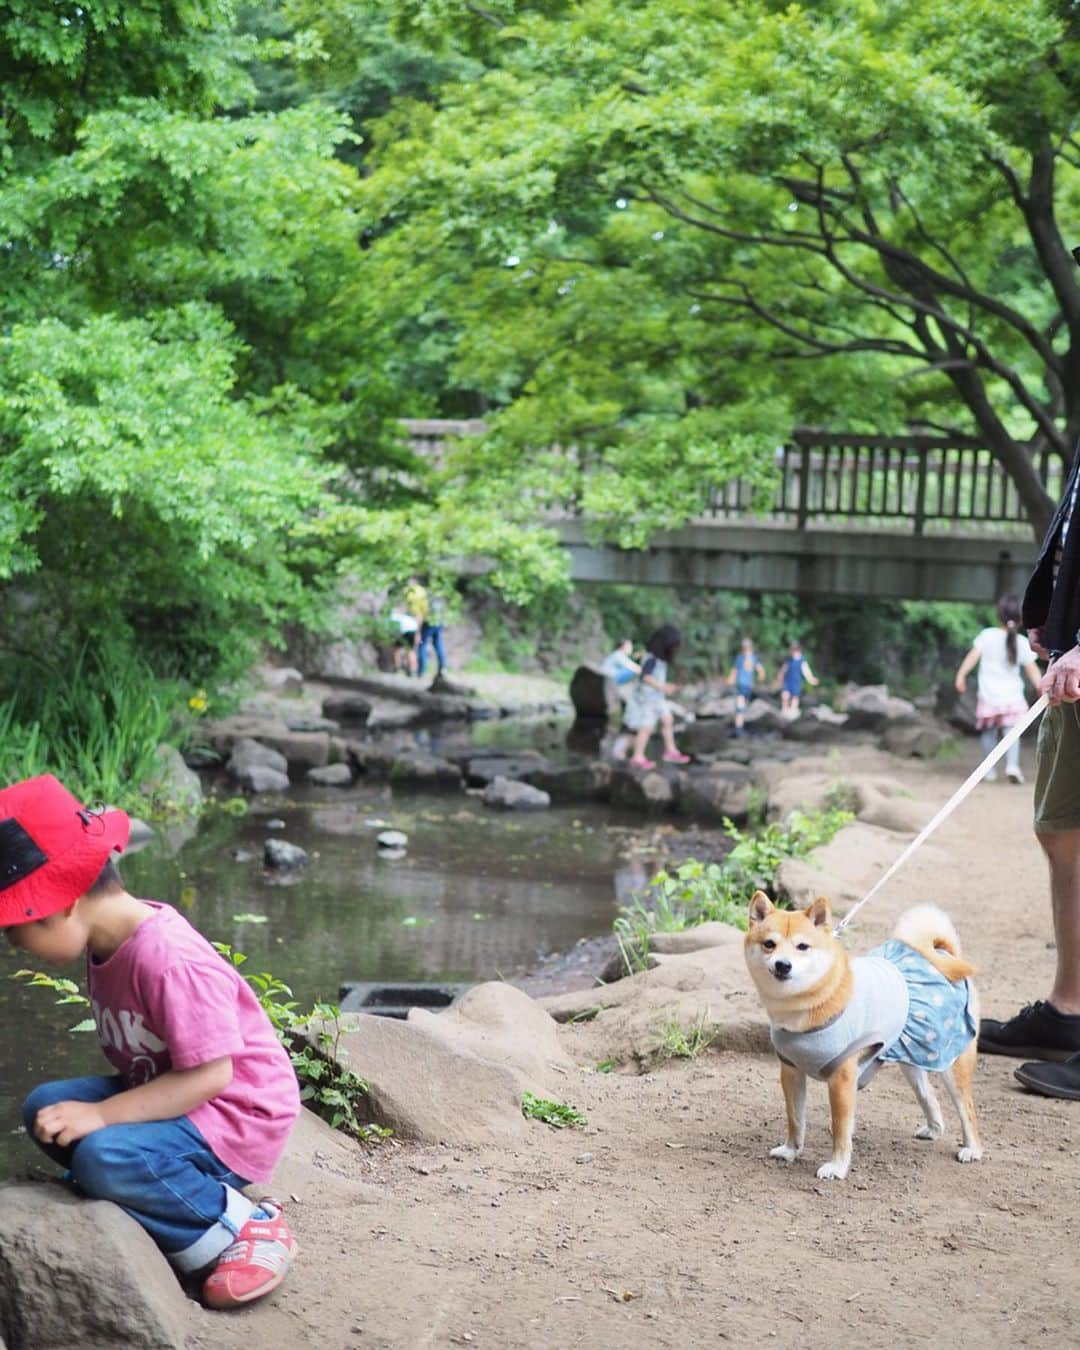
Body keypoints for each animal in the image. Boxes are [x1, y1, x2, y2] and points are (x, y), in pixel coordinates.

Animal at [745, 896, 982, 1182]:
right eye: (769, 944)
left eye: (802, 946)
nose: (783, 964)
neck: (811, 1002)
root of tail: (943, 954)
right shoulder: (791, 1071)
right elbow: (795, 1118)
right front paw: (791, 1150)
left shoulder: (841, 1078)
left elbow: (840, 1127)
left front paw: (837, 1166)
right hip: (913, 1057)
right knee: (928, 1095)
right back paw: (934, 1128)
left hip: (951, 1061)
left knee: (966, 1109)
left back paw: (972, 1149)